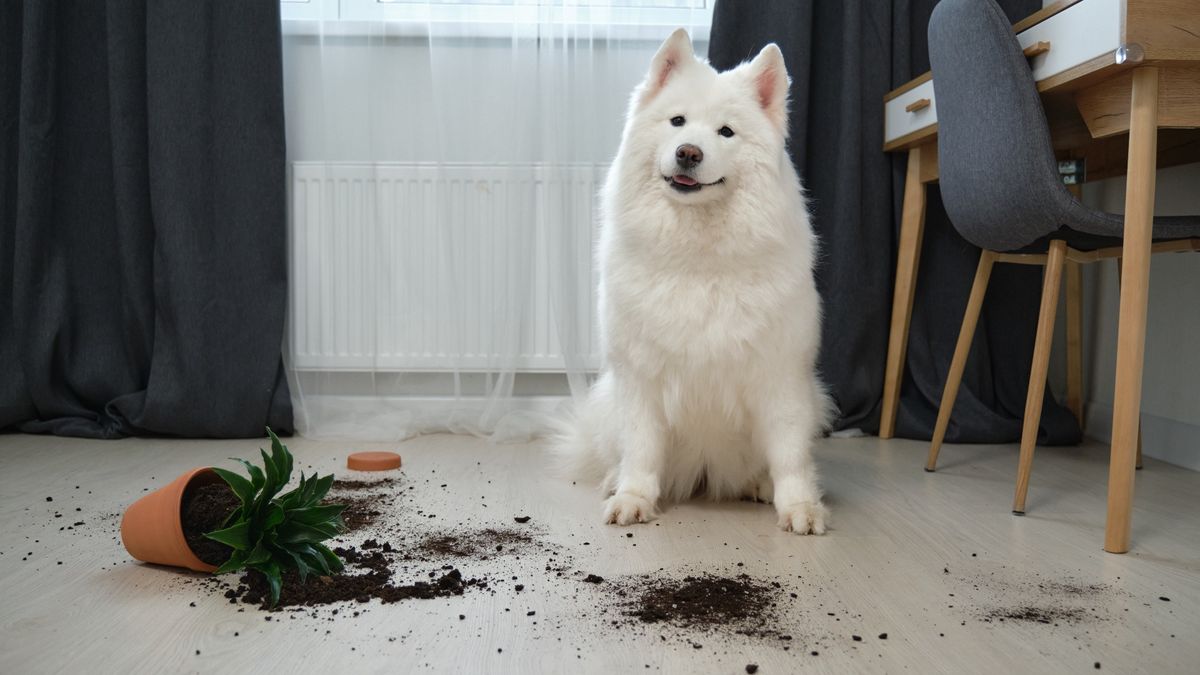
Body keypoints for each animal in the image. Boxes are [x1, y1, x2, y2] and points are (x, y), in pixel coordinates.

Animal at [554, 30, 830, 530]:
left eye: (726, 132)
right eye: (677, 121)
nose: (688, 152)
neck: (698, 257)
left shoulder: (780, 377)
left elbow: (790, 455)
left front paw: (800, 507)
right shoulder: (640, 377)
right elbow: (642, 449)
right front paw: (633, 498)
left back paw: (759, 485)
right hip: (607, 401)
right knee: (616, 452)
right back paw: (613, 480)